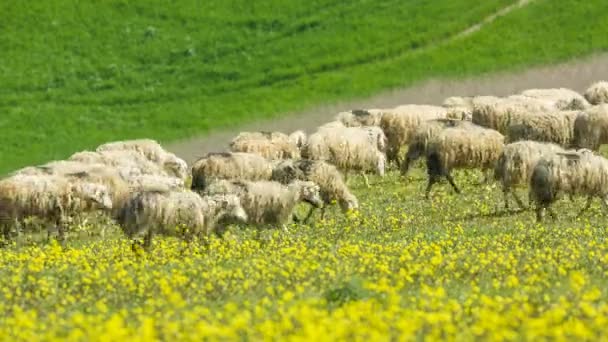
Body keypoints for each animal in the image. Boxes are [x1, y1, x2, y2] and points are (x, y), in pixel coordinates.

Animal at [114, 191, 247, 250]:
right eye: (233, 206)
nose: (245, 218)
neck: (206, 210)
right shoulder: (189, 233)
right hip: (140, 228)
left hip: (142, 230)